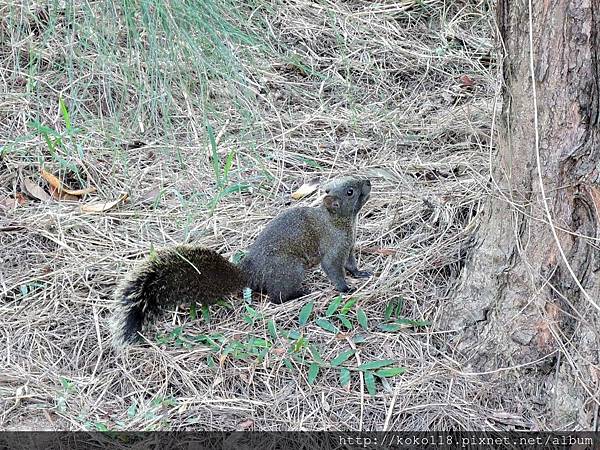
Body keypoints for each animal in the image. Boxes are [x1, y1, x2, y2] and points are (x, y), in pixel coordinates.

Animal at [109, 174, 370, 346]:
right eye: (350, 192)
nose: (367, 181)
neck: (339, 221)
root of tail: (249, 274)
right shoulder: (333, 248)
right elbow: (333, 270)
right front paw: (345, 289)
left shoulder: (348, 249)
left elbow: (350, 265)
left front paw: (361, 274)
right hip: (291, 269)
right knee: (276, 296)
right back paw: (300, 294)